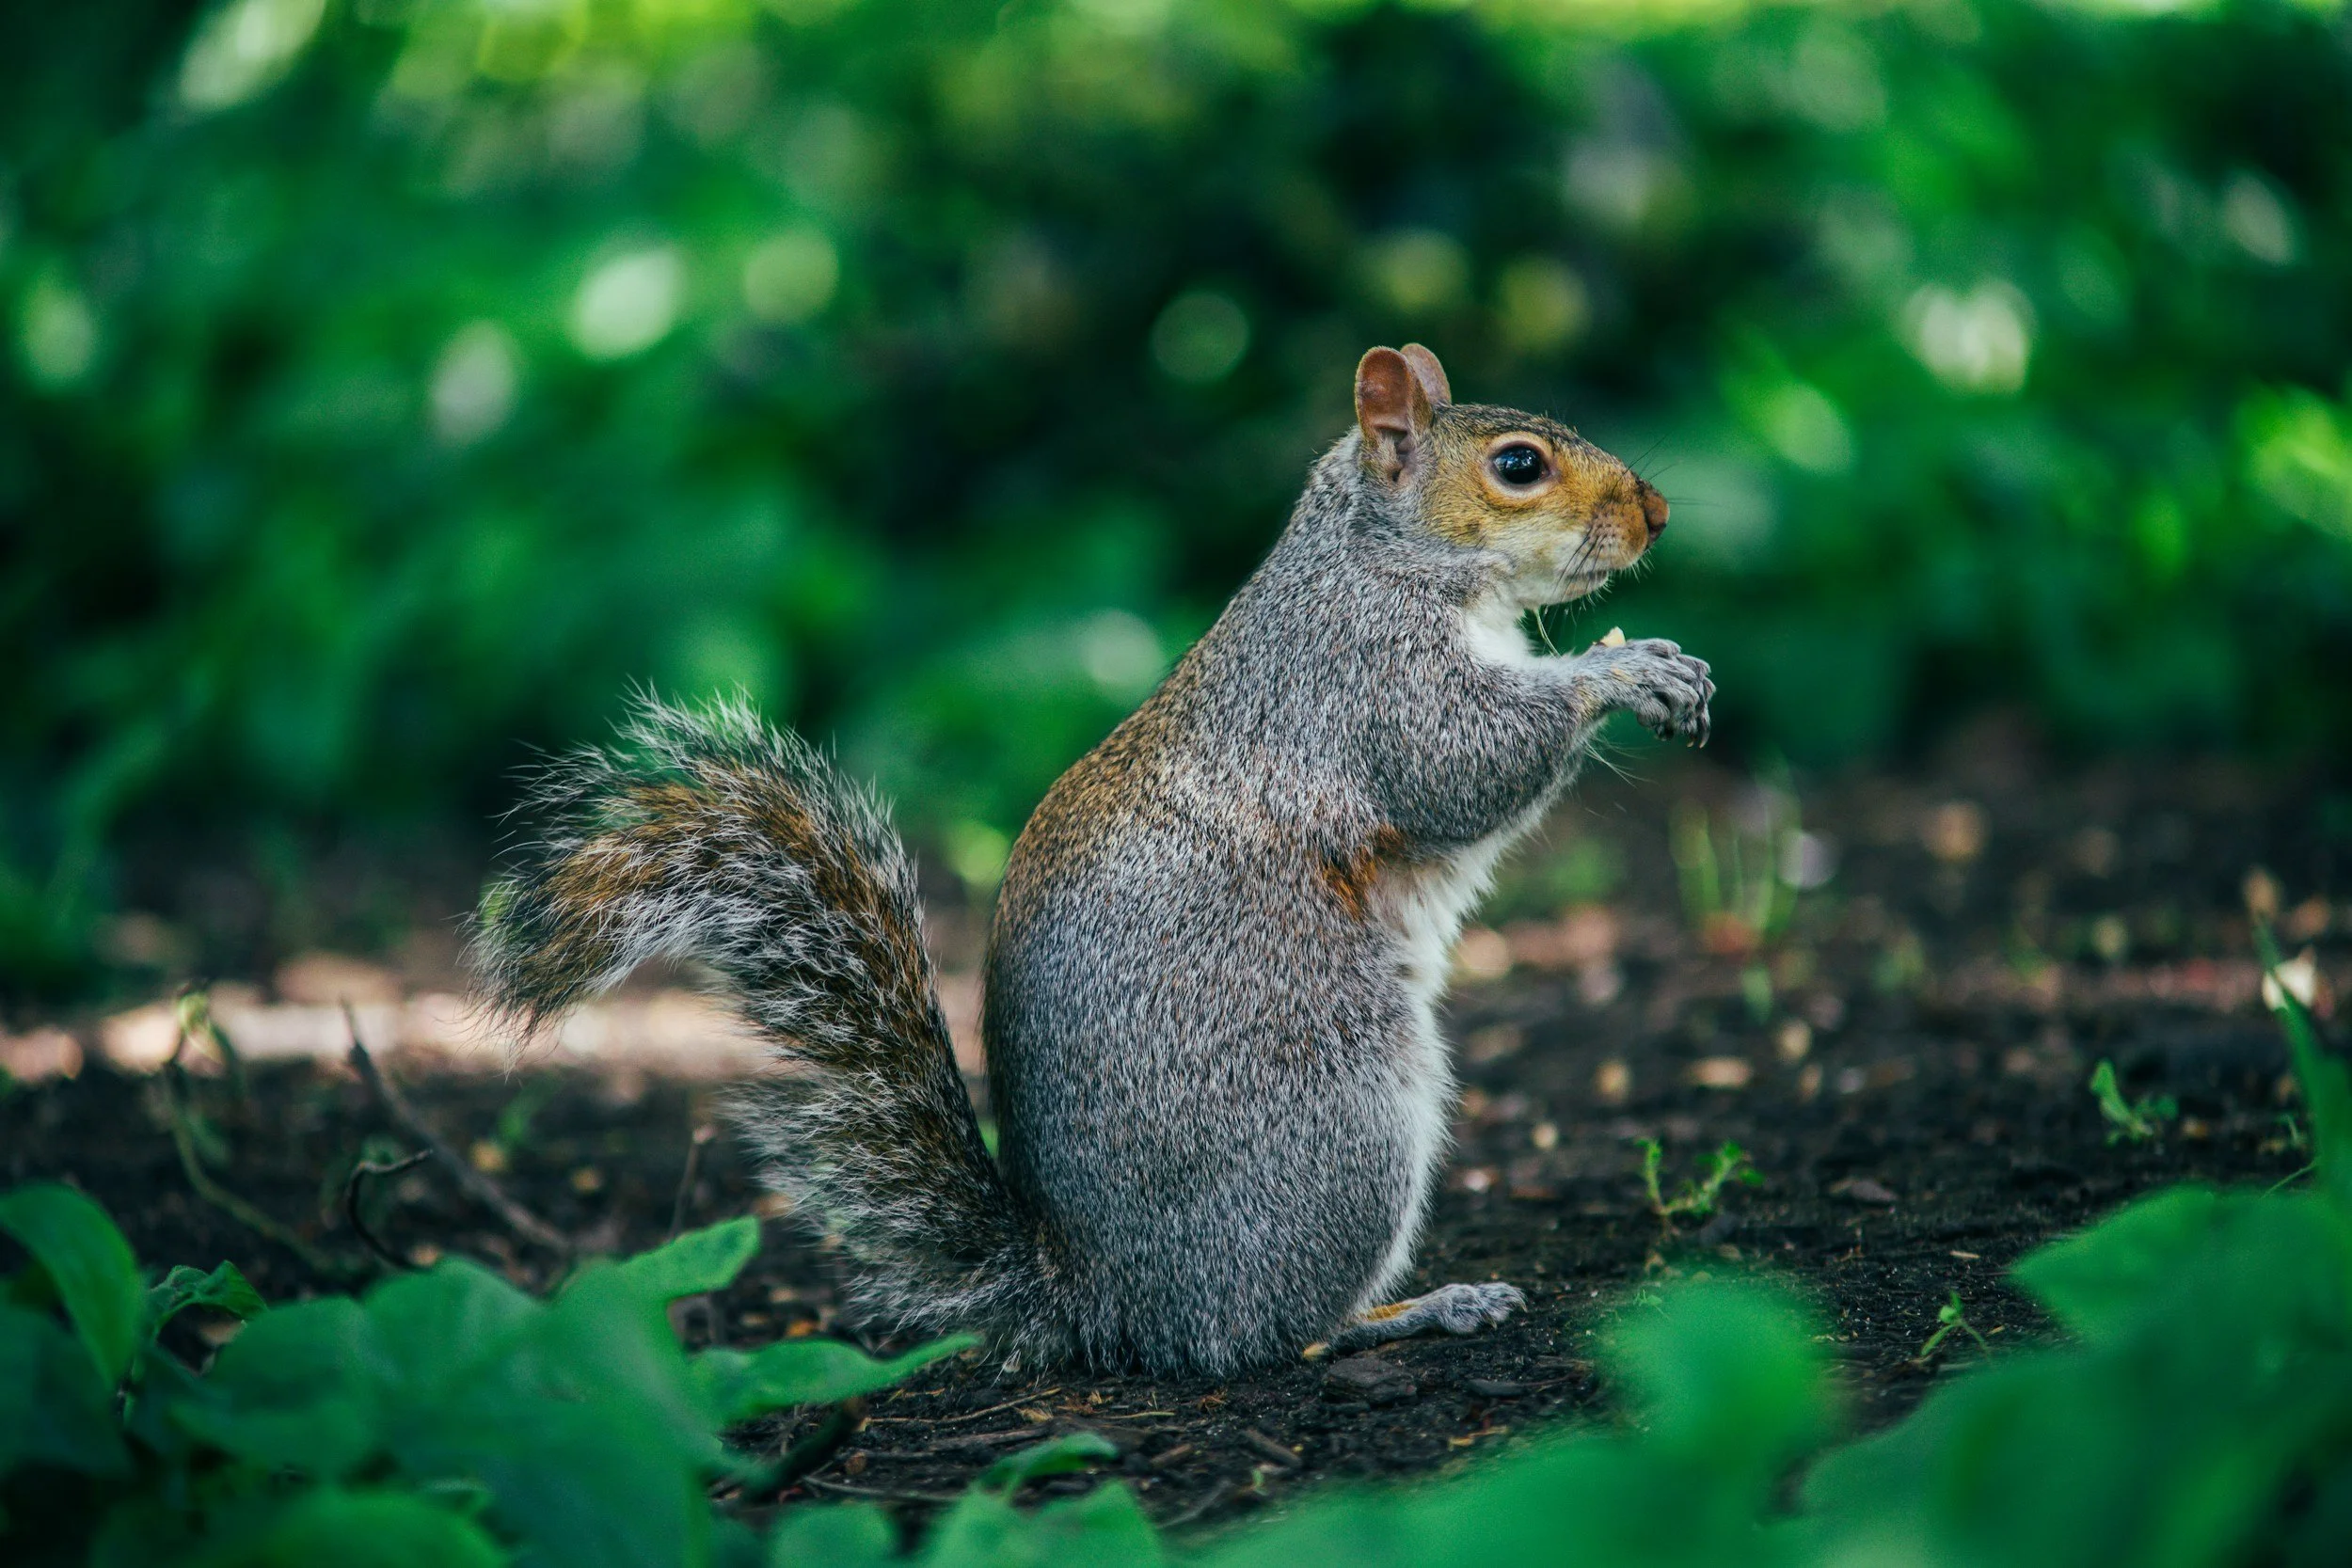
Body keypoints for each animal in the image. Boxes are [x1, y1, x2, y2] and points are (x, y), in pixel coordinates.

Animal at [470, 344, 1712, 1374]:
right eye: (1518, 465)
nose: (1656, 513)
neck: (1386, 559)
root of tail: (1104, 1297)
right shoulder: (1366, 680)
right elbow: (1463, 762)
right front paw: (1622, 669)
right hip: (1341, 1122)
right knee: (1272, 1333)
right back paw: (1418, 1308)